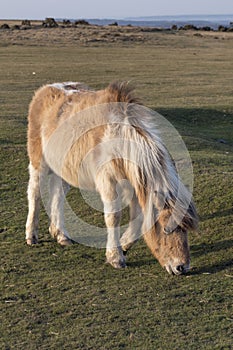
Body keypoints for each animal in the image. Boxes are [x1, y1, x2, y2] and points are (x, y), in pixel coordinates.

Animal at [25, 80, 198, 274]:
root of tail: (47, 88)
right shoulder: (108, 182)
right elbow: (113, 217)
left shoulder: (134, 185)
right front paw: (115, 257)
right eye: (167, 229)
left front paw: (123, 245)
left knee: (58, 196)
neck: (121, 137)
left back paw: (61, 235)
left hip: (62, 169)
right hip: (38, 163)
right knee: (34, 193)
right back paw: (31, 235)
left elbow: (138, 219)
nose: (182, 267)